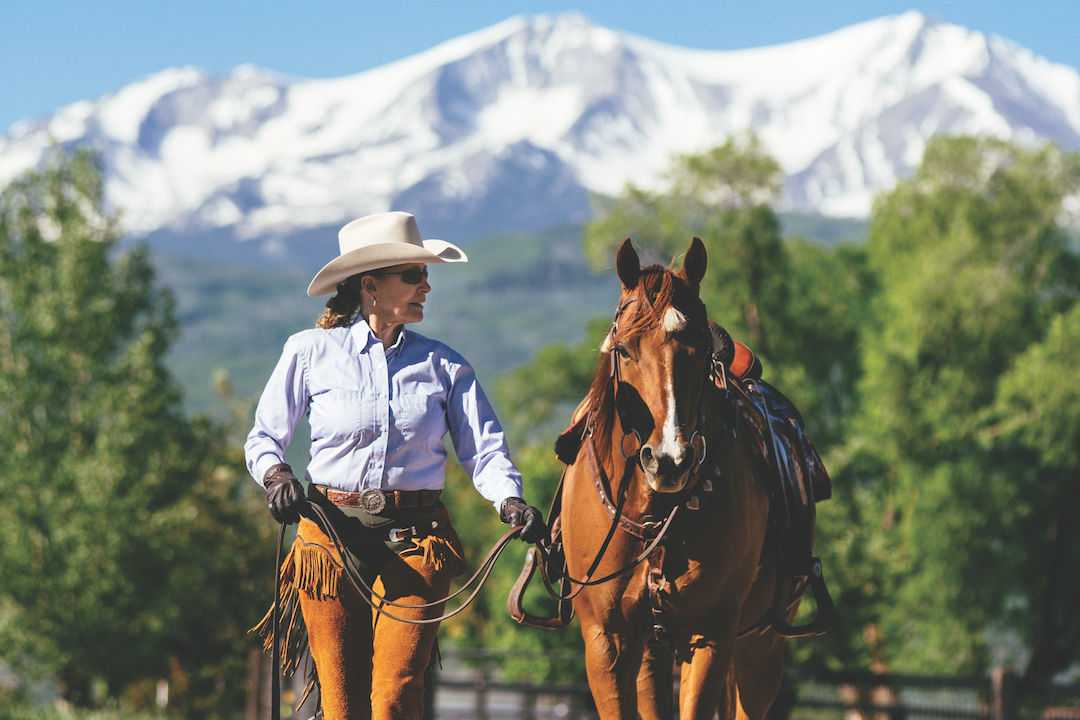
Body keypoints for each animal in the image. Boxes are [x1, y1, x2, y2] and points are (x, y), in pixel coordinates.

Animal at [559, 237, 791, 720]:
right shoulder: (606, 638)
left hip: (761, 644)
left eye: (701, 351)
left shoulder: (712, 634)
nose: (669, 460)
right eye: (623, 349)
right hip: (652, 645)